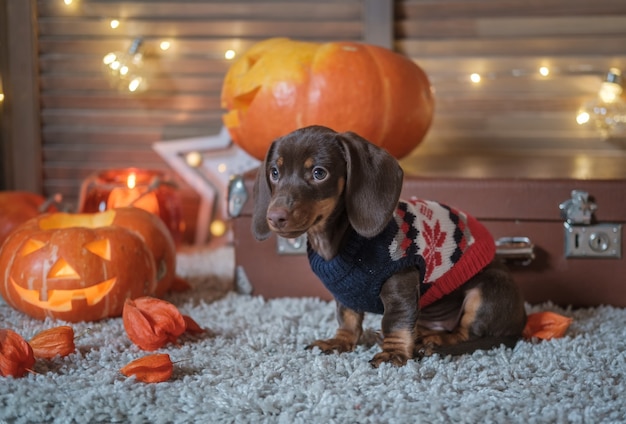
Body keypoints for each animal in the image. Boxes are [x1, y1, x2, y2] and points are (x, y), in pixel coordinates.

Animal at [251, 124, 524, 366]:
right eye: (274, 172)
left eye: (319, 173)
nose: (274, 217)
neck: (339, 240)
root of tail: (521, 320)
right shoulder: (345, 293)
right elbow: (347, 319)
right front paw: (340, 342)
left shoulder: (400, 283)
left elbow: (395, 321)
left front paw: (393, 353)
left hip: (486, 290)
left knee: (466, 333)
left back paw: (434, 341)